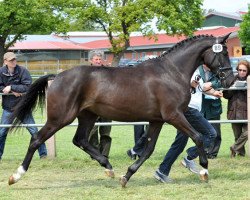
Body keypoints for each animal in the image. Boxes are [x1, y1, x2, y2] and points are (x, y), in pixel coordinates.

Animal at [7, 33, 234, 187]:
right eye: (223, 52)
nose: (230, 80)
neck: (171, 72)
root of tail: (57, 77)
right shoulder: (174, 115)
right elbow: (198, 137)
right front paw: (204, 171)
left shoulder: (157, 120)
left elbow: (148, 149)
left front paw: (127, 176)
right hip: (60, 118)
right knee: (37, 140)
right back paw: (15, 176)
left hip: (88, 116)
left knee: (80, 140)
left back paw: (109, 168)